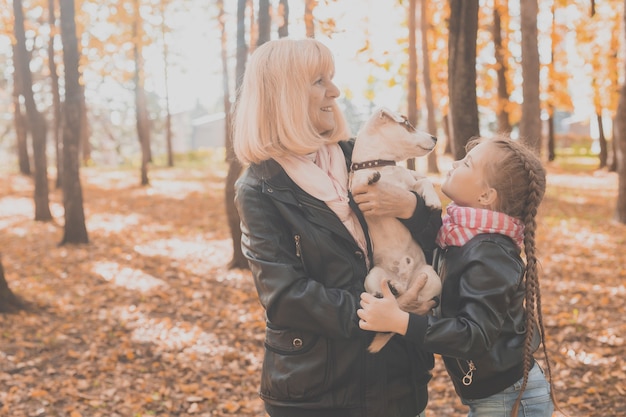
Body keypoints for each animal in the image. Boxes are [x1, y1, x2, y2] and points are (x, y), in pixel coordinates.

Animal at [348, 106, 442, 352]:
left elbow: (424, 180)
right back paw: (391, 288)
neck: (381, 163)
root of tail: (405, 281)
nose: (436, 138)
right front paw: (369, 177)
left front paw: (433, 200)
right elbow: (360, 182)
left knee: (416, 302)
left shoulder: (411, 186)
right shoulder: (355, 194)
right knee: (380, 292)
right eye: (407, 124)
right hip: (372, 276)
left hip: (431, 277)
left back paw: (401, 292)